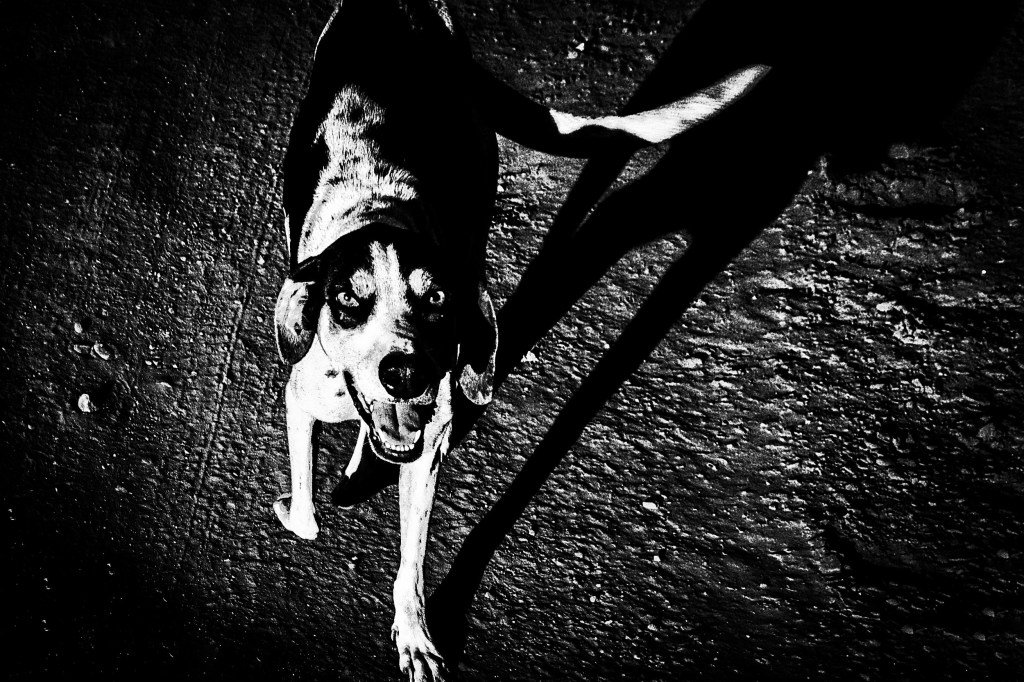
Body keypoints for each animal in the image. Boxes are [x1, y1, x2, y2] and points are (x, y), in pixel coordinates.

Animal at [272, 1, 767, 679]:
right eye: (348, 297)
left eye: (437, 300)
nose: (405, 373)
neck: (378, 210)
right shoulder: (302, 400)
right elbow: (306, 518)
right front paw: (312, 500)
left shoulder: (429, 441)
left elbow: (411, 558)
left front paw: (415, 634)